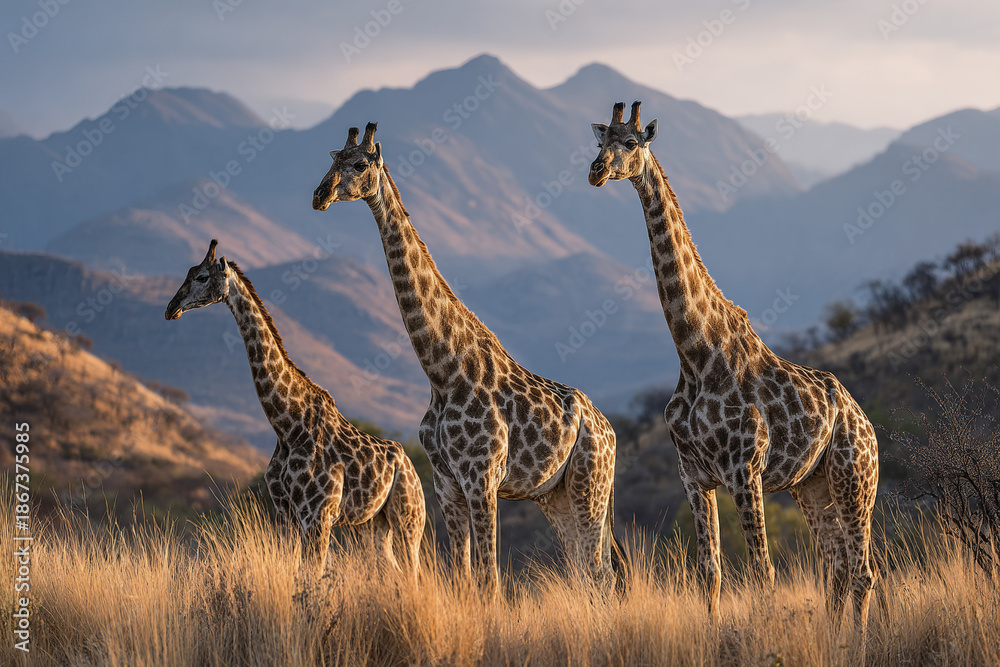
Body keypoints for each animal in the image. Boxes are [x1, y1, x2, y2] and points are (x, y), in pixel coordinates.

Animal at [165, 240, 426, 578]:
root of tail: (410, 466)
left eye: (201, 276)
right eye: (189, 272)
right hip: (373, 524)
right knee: (394, 571)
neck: (287, 425)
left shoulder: (318, 514)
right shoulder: (285, 512)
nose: (171, 308)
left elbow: (312, 576)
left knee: (414, 574)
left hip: (409, 517)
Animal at [311, 123, 620, 590]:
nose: (319, 195)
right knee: (584, 571)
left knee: (599, 572)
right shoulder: (446, 484)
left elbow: (489, 578)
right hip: (556, 494)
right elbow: (463, 575)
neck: (443, 372)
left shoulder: (482, 479)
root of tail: (611, 434)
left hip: (590, 484)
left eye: (360, 164)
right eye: (333, 159)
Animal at [588, 102, 879, 639]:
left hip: (855, 480)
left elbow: (762, 571)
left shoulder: (745, 470)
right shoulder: (694, 475)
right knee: (836, 565)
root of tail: (865, 422)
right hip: (812, 486)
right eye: (599, 141)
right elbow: (711, 571)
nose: (596, 171)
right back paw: (836, 640)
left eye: (633, 143)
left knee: (862, 569)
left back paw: (862, 644)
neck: (695, 354)